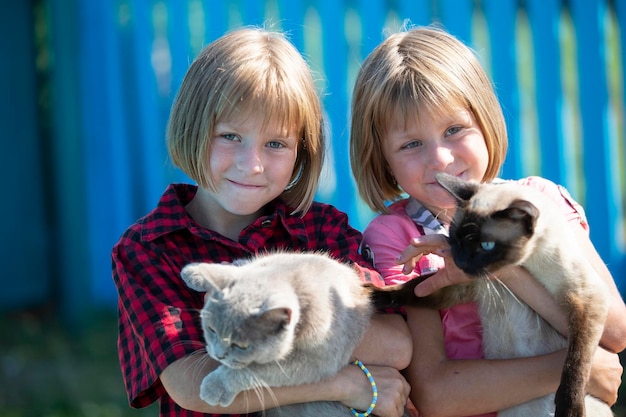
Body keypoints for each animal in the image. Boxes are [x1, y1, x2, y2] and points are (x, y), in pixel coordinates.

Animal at [370, 172, 608, 416]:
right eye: (454, 238)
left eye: (486, 245)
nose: (460, 262)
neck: (522, 264)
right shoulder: (468, 285)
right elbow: (413, 288)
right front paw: (372, 295)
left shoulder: (585, 296)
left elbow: (576, 361)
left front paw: (569, 409)